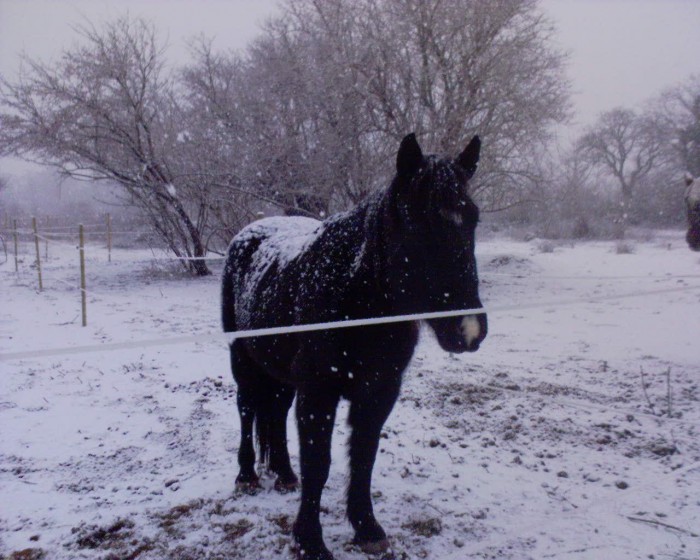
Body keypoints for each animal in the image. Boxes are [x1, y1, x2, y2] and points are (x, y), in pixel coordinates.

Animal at [223, 132, 486, 560]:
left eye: (474, 218)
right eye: (417, 222)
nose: (469, 330)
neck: (356, 303)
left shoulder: (378, 392)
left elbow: (363, 457)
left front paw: (367, 529)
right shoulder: (318, 394)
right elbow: (320, 462)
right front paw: (310, 541)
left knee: (274, 413)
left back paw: (284, 474)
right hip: (243, 361)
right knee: (247, 410)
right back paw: (246, 475)